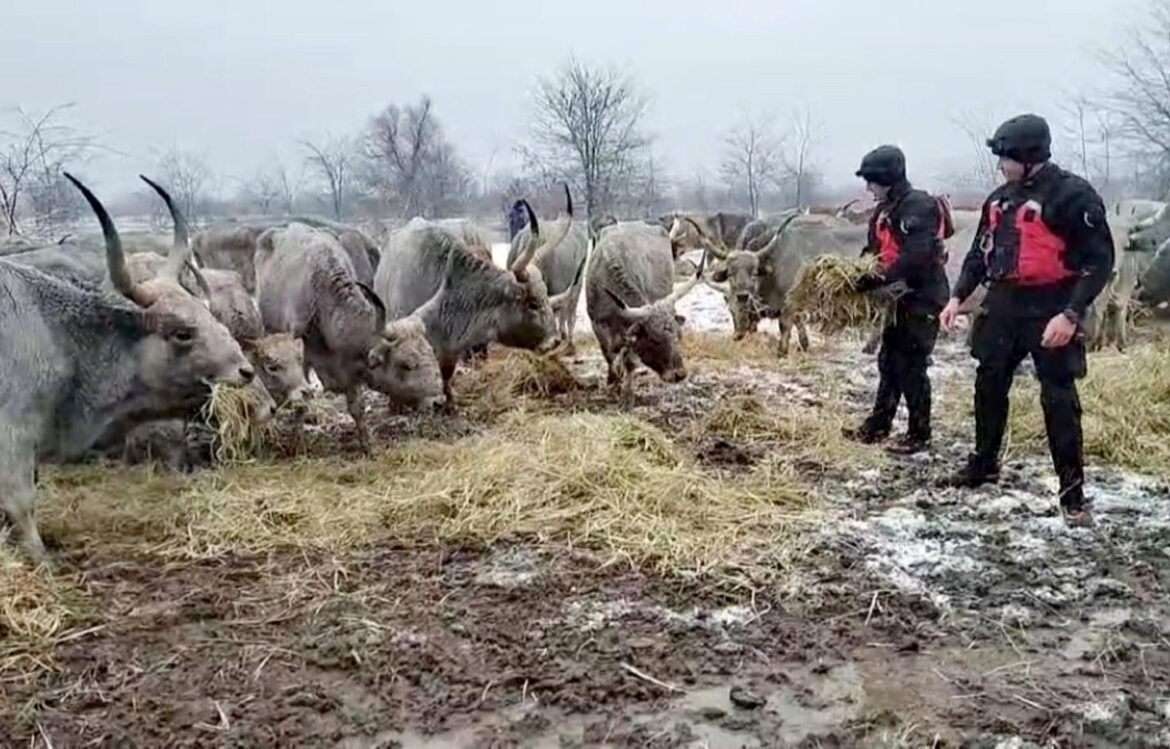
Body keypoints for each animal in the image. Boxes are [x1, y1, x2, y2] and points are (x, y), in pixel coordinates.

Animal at [1, 175, 252, 561]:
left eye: (208, 313)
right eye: (182, 333)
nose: (245, 370)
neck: (56, 332)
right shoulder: (13, 435)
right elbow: (21, 502)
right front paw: (42, 560)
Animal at [256, 220, 442, 447]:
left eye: (431, 353)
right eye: (406, 364)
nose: (438, 401)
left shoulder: (350, 370)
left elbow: (357, 407)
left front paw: (368, 445)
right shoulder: (301, 358)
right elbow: (302, 398)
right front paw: (296, 442)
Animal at [585, 220, 702, 400]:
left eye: (678, 336)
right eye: (654, 339)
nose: (678, 374)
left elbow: (629, 362)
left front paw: (627, 392)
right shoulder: (598, 326)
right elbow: (609, 356)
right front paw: (612, 384)